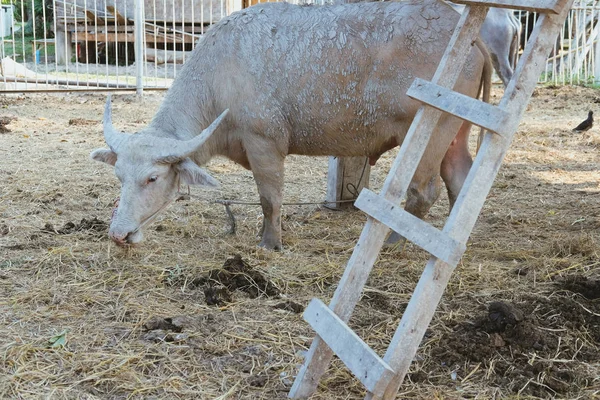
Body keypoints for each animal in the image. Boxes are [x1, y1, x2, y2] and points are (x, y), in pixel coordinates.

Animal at [90, 0, 492, 250]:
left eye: (152, 178)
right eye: (119, 176)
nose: (118, 234)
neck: (220, 79)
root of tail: (472, 38)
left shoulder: (265, 142)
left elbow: (269, 198)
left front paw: (270, 242)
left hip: (428, 133)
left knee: (423, 192)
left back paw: (394, 241)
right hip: (456, 134)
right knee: (459, 181)